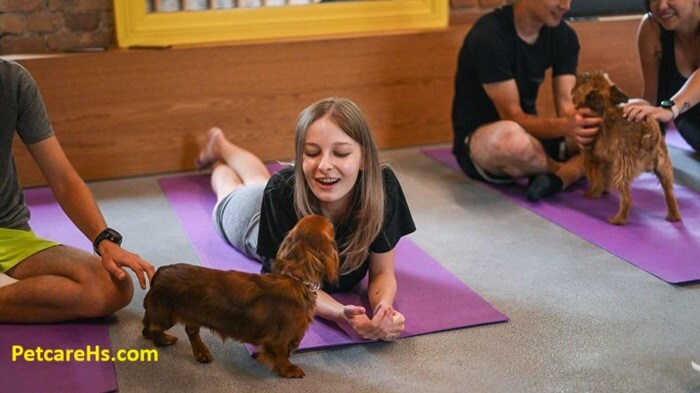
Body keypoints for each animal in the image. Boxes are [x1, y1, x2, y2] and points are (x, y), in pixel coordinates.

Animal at [142, 214, 340, 376]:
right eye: (331, 227)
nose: (332, 220)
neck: (296, 279)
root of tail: (160, 271)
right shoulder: (279, 337)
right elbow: (281, 354)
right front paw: (289, 370)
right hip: (165, 315)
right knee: (152, 328)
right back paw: (164, 340)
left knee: (188, 330)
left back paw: (201, 352)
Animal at [572, 70, 680, 224]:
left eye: (585, 80)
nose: (581, 74)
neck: (605, 106)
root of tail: (650, 133)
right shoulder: (608, 161)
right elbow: (605, 177)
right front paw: (604, 190)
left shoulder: (592, 159)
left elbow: (596, 179)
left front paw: (593, 193)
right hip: (664, 169)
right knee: (669, 192)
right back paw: (673, 215)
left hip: (622, 169)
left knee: (627, 198)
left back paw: (618, 219)